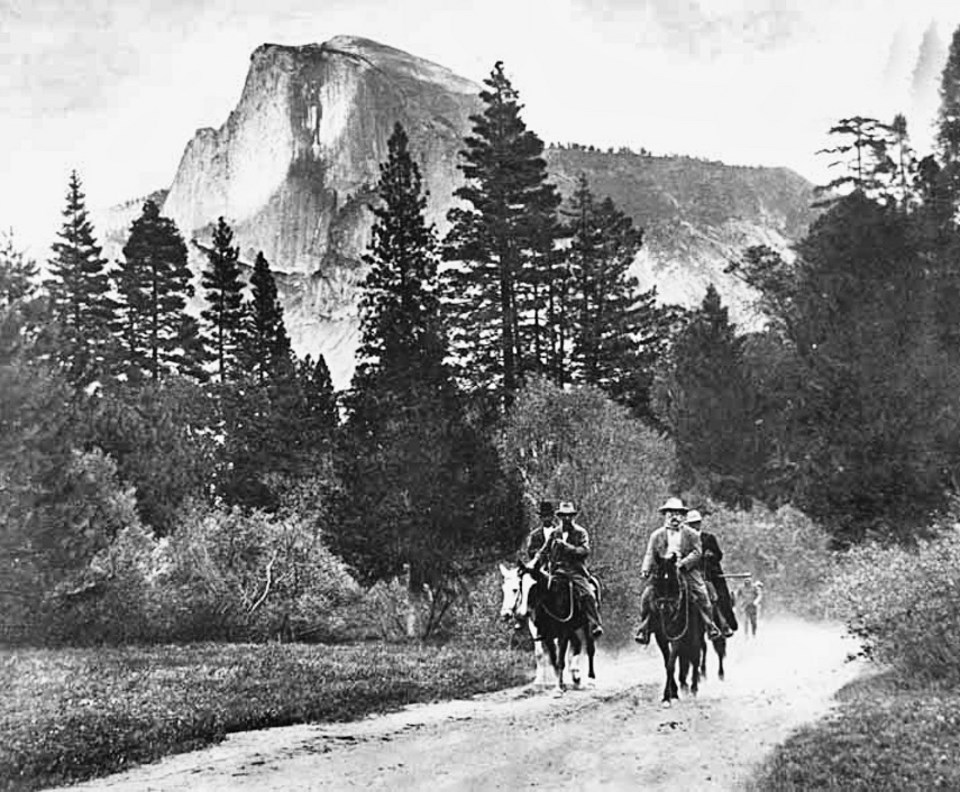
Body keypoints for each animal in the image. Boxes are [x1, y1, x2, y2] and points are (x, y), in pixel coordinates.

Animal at [648, 552, 700, 704]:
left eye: (673, 580)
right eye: (657, 578)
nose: (666, 608)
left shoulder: (678, 636)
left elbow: (671, 664)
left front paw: (668, 695)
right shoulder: (661, 637)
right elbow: (668, 663)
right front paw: (672, 693)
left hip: (695, 636)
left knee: (696, 658)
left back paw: (694, 688)